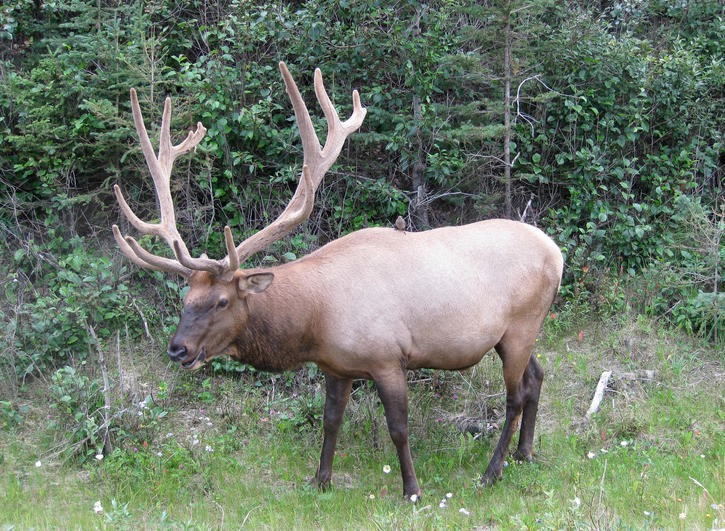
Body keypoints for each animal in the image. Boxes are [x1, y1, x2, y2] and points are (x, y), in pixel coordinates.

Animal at [114, 62, 564, 498]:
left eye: (222, 301)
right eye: (185, 298)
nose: (178, 348)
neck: (316, 320)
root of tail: (558, 253)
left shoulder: (388, 358)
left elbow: (399, 429)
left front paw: (412, 490)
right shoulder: (336, 366)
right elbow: (331, 421)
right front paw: (320, 481)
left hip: (521, 325)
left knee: (514, 397)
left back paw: (492, 471)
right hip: (514, 334)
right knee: (537, 376)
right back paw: (524, 453)